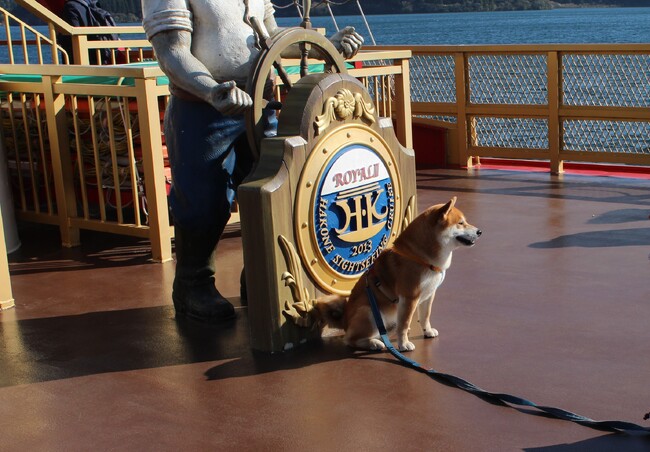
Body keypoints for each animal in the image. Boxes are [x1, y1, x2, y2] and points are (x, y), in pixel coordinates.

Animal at [314, 199, 480, 354]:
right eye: (461, 223)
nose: (479, 232)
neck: (419, 257)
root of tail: (345, 320)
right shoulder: (410, 297)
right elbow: (405, 324)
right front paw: (404, 344)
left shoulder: (429, 294)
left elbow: (425, 316)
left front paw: (427, 331)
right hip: (369, 312)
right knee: (350, 339)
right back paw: (374, 343)